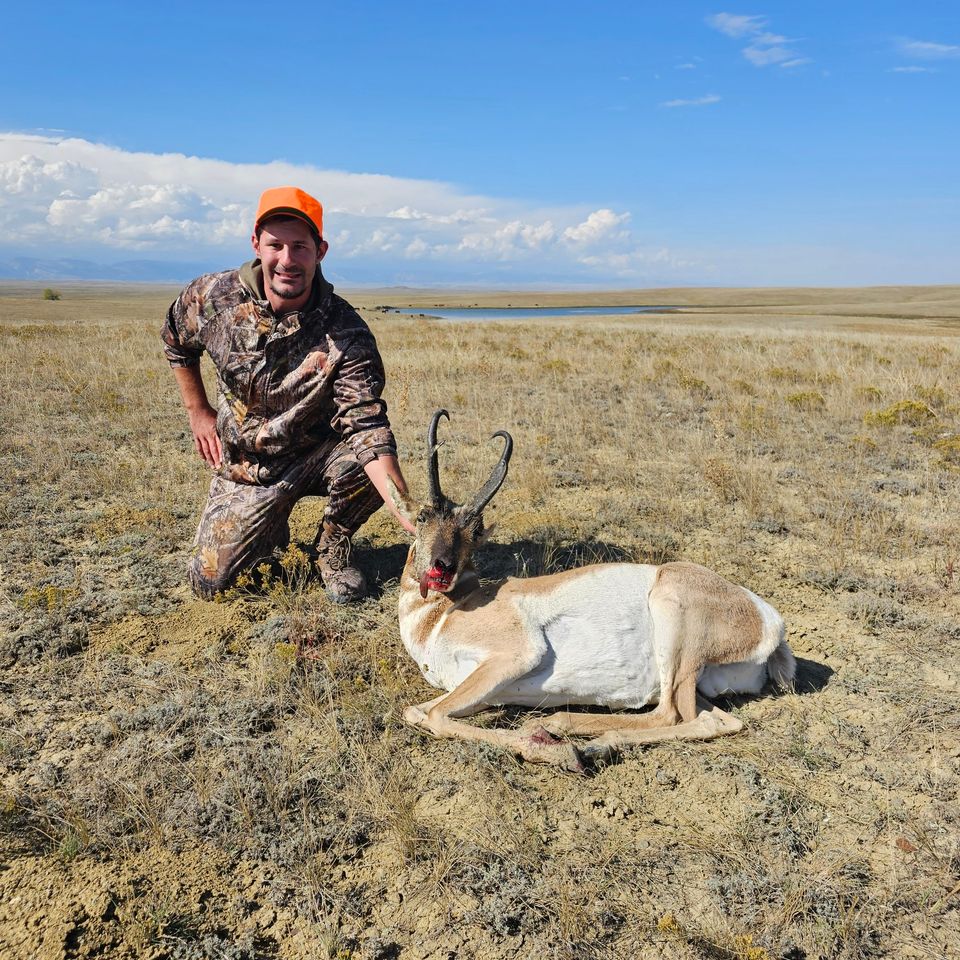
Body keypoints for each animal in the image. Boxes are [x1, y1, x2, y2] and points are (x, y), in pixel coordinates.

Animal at [388, 410, 795, 772]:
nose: (442, 567)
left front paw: (553, 750)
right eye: (423, 516)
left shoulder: (513, 656)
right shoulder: (478, 688)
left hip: (672, 618)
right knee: (716, 721)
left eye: (474, 532)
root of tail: (767, 618)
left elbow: (435, 716)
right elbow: (416, 711)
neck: (444, 615)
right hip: (692, 679)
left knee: (671, 713)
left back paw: (570, 735)